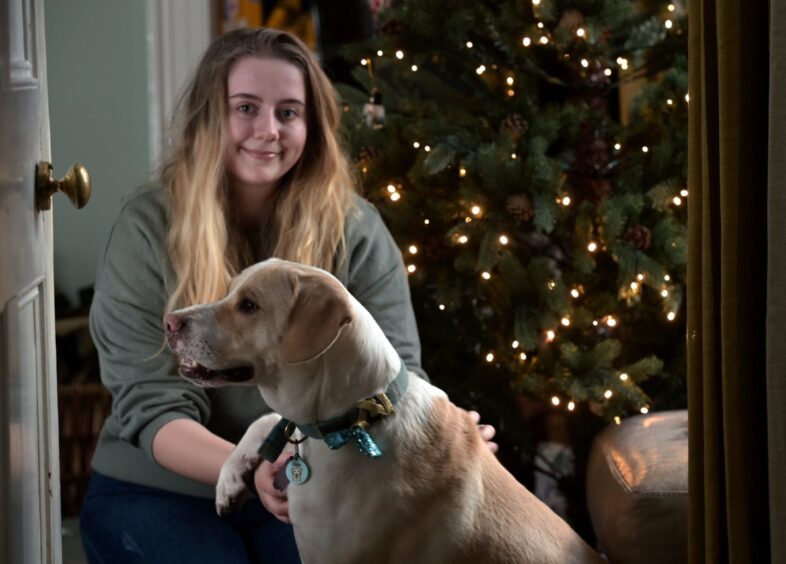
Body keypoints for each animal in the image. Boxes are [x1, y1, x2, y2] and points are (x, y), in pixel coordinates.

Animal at [164, 258, 600, 560]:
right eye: (230, 292)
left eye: (250, 306)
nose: (169, 322)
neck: (353, 418)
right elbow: (265, 420)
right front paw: (230, 481)